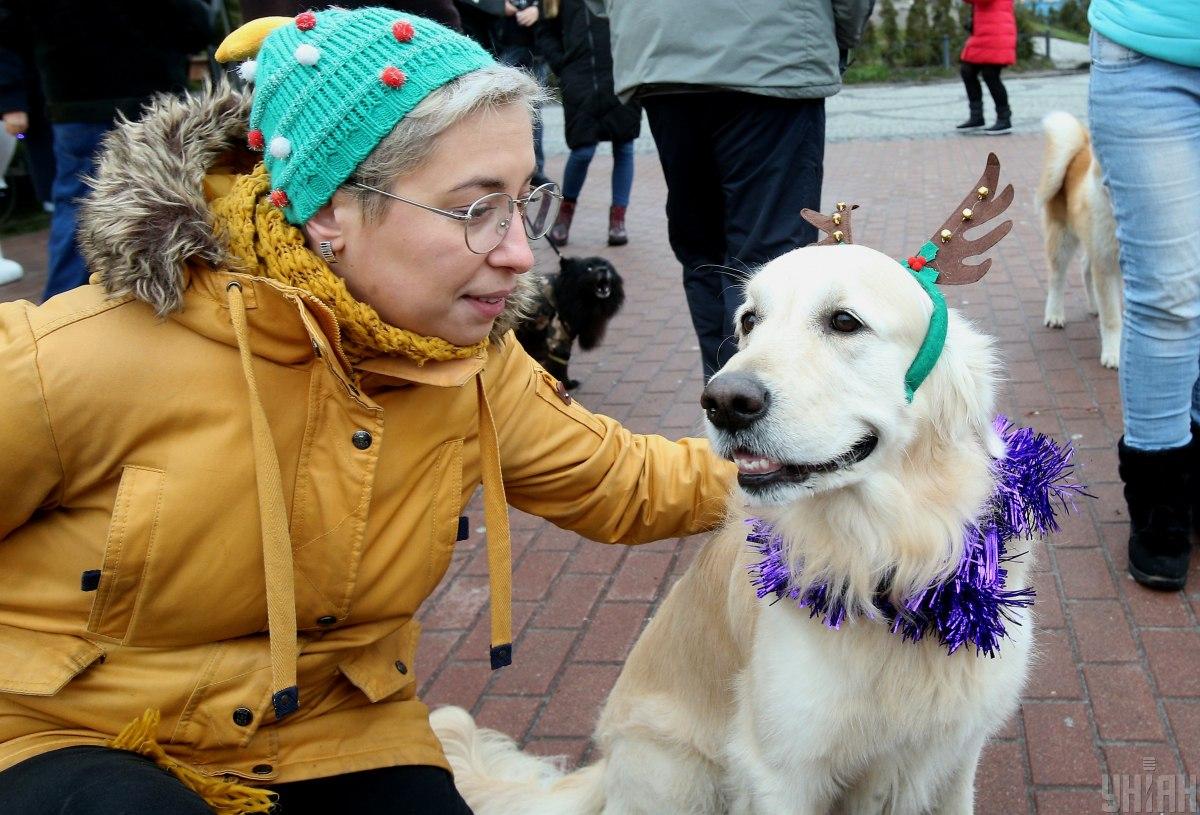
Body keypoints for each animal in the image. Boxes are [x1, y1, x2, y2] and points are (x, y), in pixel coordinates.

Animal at [516, 258, 628, 391]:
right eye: (588, 268)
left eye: (607, 265)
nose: (603, 269)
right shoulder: (558, 338)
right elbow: (560, 368)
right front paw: (566, 385)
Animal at [1041, 109, 1123, 369]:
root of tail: (1079, 149)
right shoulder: (1106, 266)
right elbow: (1112, 319)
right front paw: (1113, 353)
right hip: (1063, 240)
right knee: (1057, 279)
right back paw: (1055, 315)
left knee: (1086, 268)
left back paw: (1093, 306)